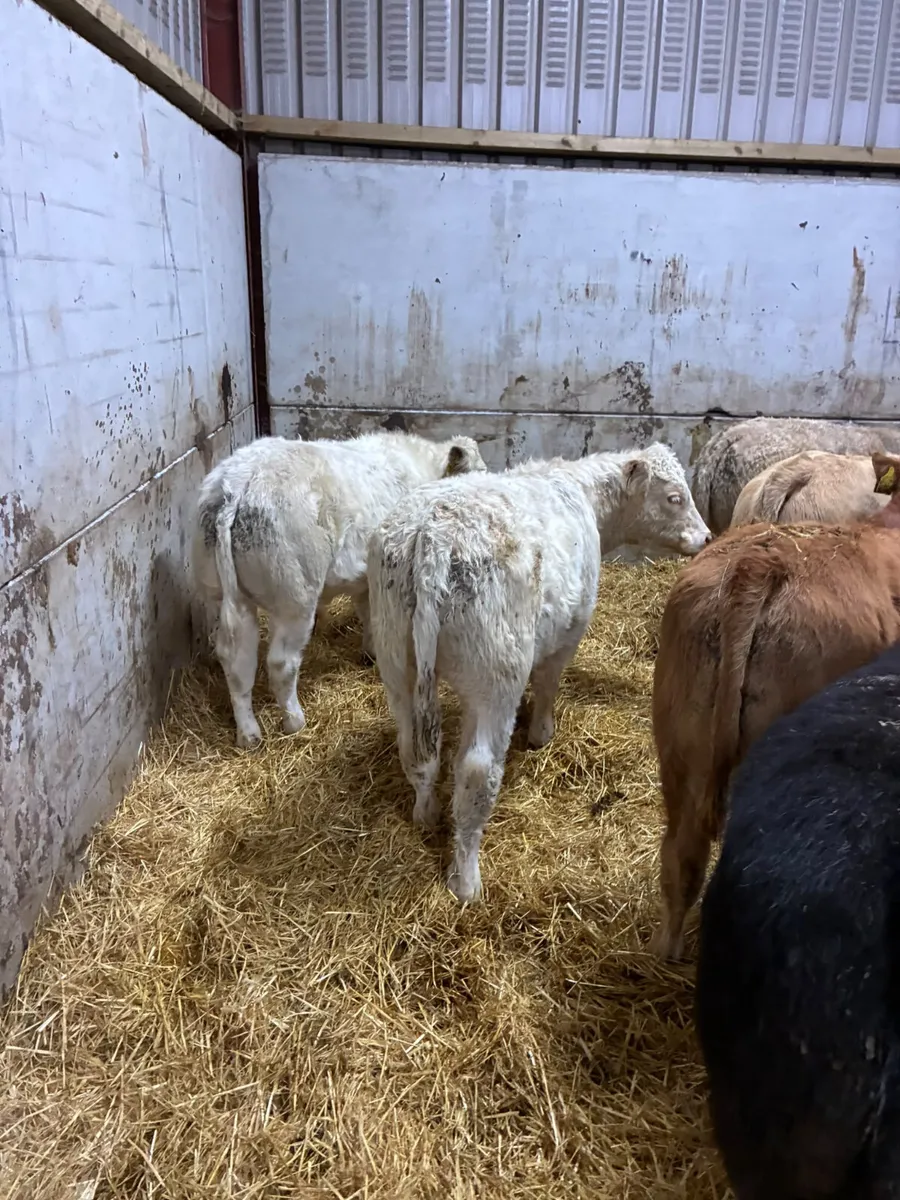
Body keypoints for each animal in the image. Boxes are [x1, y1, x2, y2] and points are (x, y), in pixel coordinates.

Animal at [192, 430, 487, 748]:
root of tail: (236, 483)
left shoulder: (365, 579)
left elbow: (367, 612)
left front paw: (370, 652)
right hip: (295, 599)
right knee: (281, 663)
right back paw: (294, 721)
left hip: (224, 594)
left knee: (236, 660)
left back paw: (249, 734)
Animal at [367, 443, 711, 903]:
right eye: (675, 497)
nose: (707, 537)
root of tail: (433, 535)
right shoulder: (570, 631)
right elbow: (548, 683)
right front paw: (542, 733)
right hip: (496, 675)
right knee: (477, 771)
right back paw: (466, 881)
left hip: (396, 662)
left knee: (415, 749)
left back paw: (426, 812)